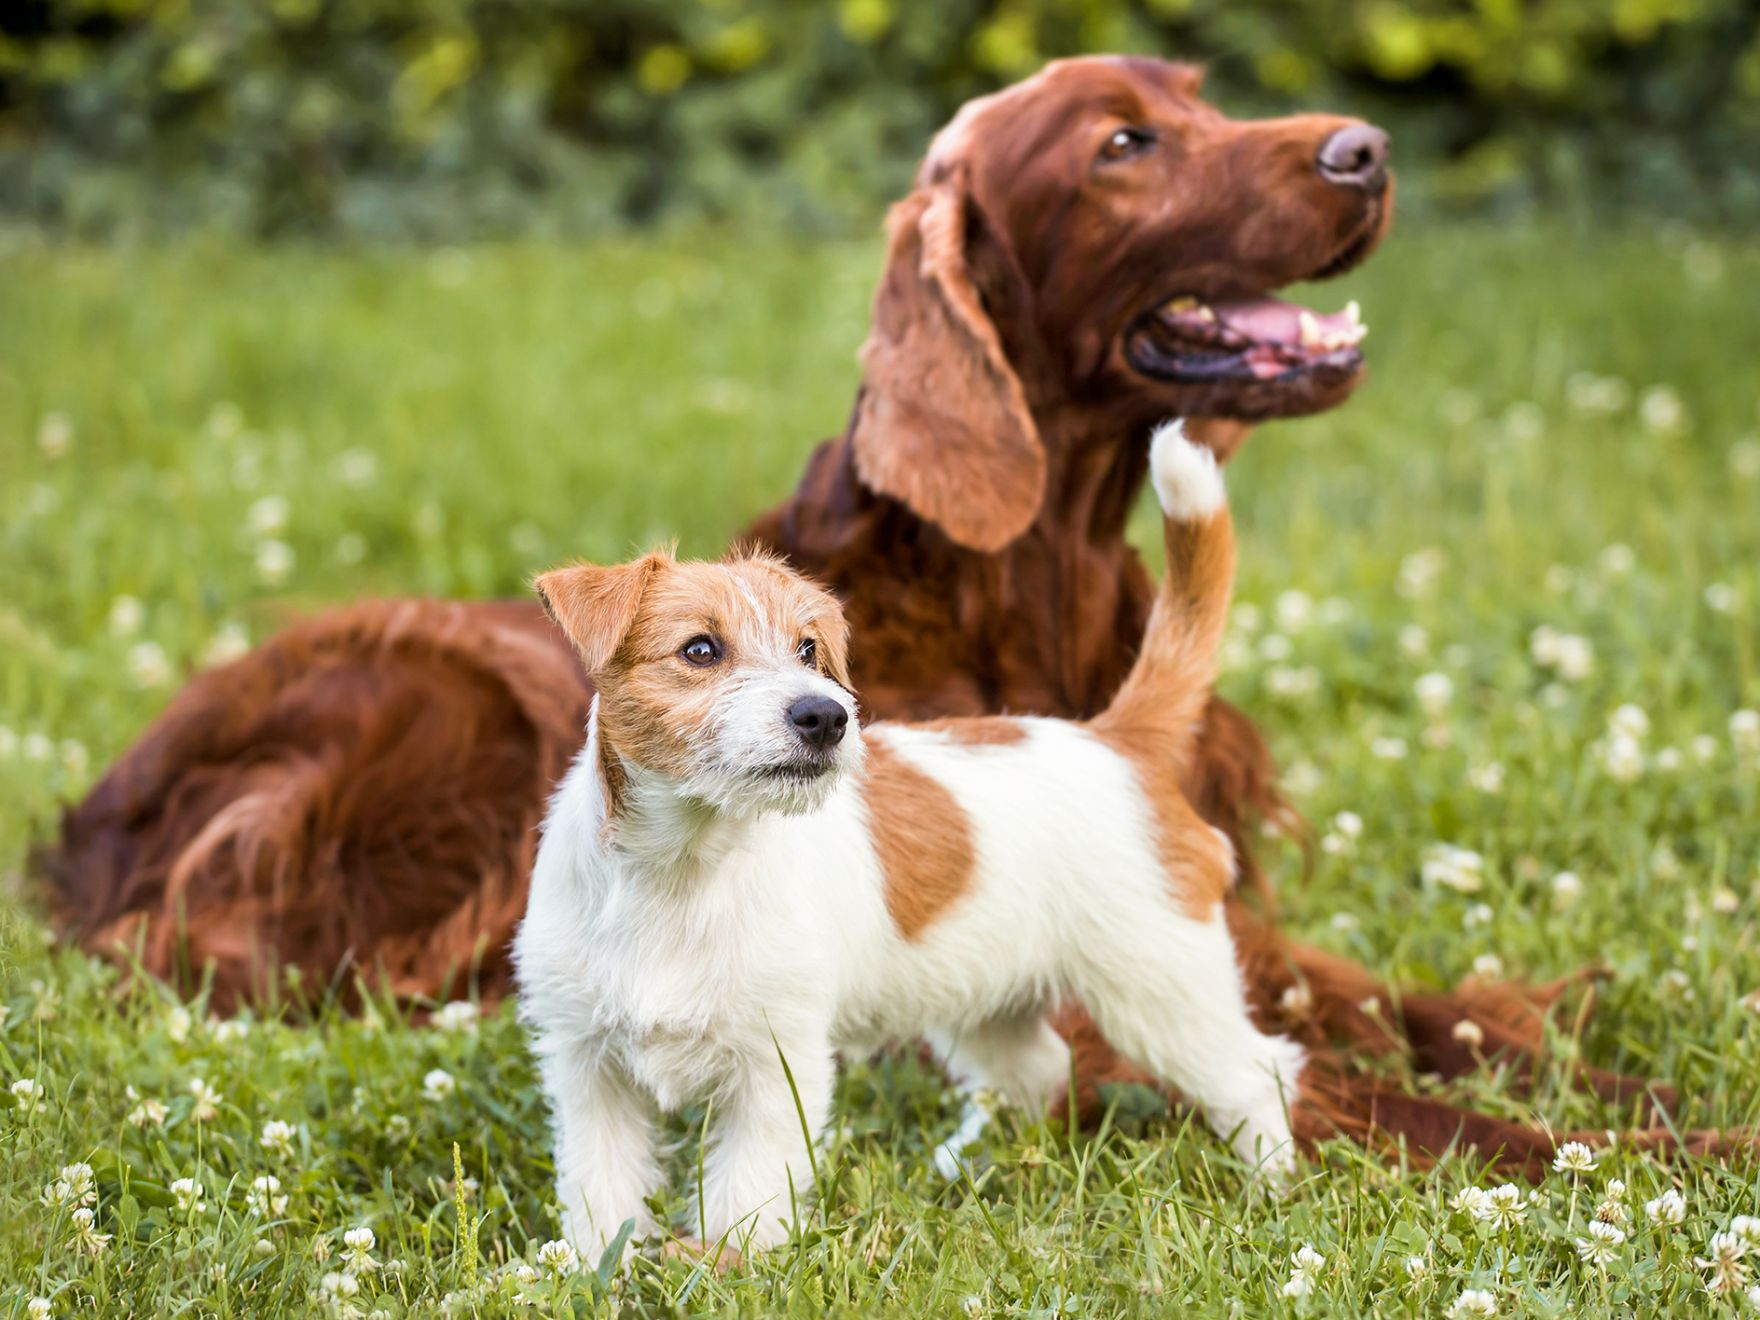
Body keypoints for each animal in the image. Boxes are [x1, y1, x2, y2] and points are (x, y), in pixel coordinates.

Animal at [41, 59, 1731, 1175]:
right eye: (1127, 142)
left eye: (1199, 92)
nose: (1366, 150)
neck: (1041, 588)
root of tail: (85, 818)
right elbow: (1397, 1095)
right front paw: (1676, 1154)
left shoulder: (1213, 923)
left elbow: (1435, 1018)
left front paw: (1613, 1066)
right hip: (434, 716)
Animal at [513, 424, 1302, 1260]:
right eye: (700, 650)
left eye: (808, 650)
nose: (825, 716)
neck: (685, 866)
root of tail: (1116, 739)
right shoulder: (588, 1067)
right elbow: (601, 1183)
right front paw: (597, 1264)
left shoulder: (774, 1064)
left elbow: (748, 1185)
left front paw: (736, 1262)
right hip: (993, 999)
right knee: (1038, 1066)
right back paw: (976, 1161)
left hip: (1160, 985)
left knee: (1259, 1068)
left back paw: (1271, 1185)